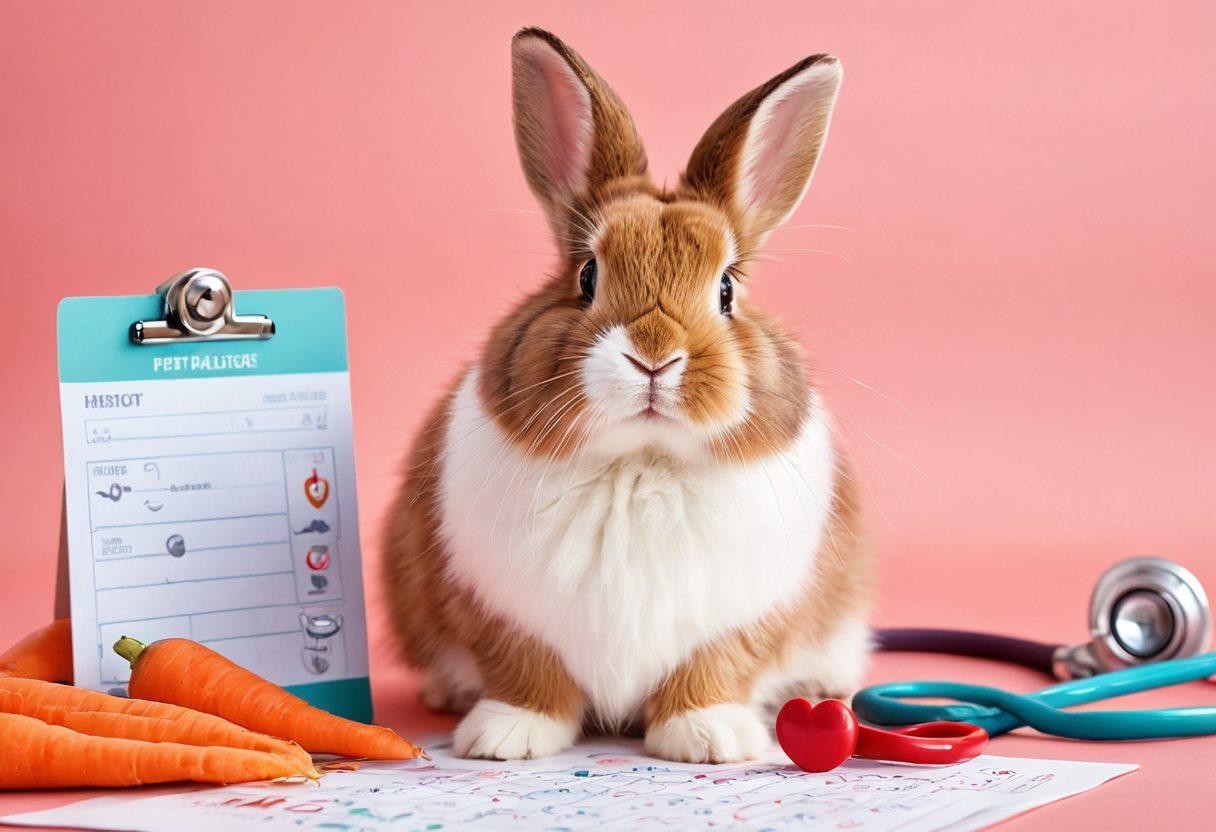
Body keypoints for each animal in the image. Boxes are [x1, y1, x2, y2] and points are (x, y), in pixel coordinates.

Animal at [382, 27, 874, 764]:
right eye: (587, 275)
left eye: (726, 288)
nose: (654, 355)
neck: (640, 460)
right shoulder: (500, 612)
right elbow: (529, 671)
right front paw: (507, 735)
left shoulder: (744, 620)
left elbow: (713, 669)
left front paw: (708, 736)